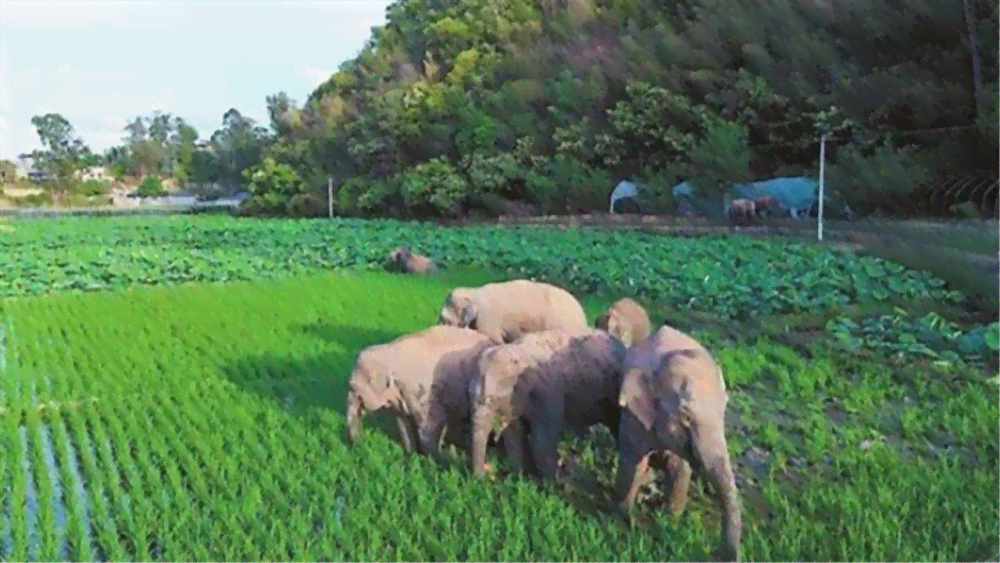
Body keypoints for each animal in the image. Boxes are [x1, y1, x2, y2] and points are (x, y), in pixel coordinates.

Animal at [348, 326, 496, 454]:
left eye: (353, 389)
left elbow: (431, 426)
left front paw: (431, 459)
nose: (361, 444)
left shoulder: (425, 393)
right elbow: (403, 423)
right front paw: (410, 454)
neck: (389, 350)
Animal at [468, 328, 624, 482]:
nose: (484, 477)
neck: (514, 349)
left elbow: (542, 437)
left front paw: (548, 485)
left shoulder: (548, 390)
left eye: (490, 400)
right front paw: (519, 477)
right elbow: (514, 433)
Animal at [608, 324, 744, 560]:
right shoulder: (635, 412)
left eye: (723, 413)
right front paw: (622, 514)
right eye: (686, 417)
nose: (717, 553)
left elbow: (679, 468)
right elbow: (632, 458)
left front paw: (669, 521)